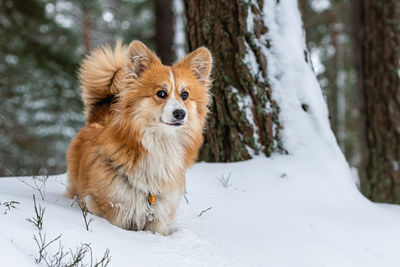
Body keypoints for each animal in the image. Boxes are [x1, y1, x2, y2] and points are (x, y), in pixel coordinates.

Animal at [66, 40, 212, 236]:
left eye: (185, 95)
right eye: (161, 93)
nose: (180, 113)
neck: (161, 143)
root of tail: (99, 119)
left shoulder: (158, 216)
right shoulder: (112, 208)